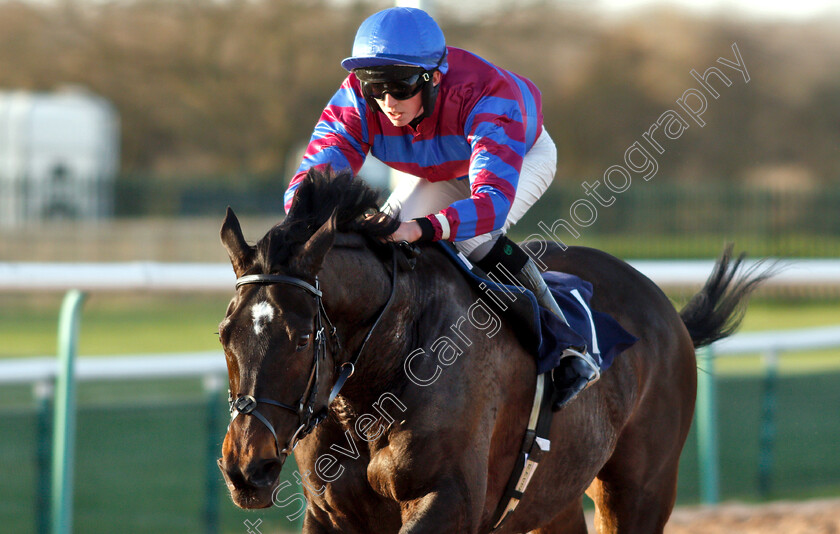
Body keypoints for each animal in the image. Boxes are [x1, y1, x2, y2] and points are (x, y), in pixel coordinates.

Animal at [217, 172, 768, 534]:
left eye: (300, 337)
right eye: (225, 335)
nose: (246, 468)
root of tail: (665, 309)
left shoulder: (450, 500)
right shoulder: (332, 514)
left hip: (640, 490)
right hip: (555, 494)